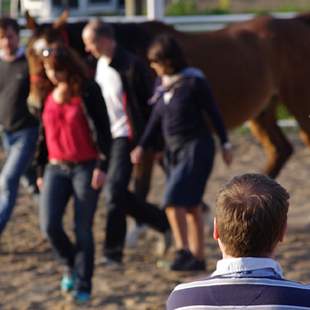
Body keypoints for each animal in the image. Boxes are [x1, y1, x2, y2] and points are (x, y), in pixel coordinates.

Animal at [24, 12, 310, 178]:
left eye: (52, 52)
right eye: (28, 52)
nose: (34, 104)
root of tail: (297, 21)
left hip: (298, 102)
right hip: (262, 111)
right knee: (280, 150)